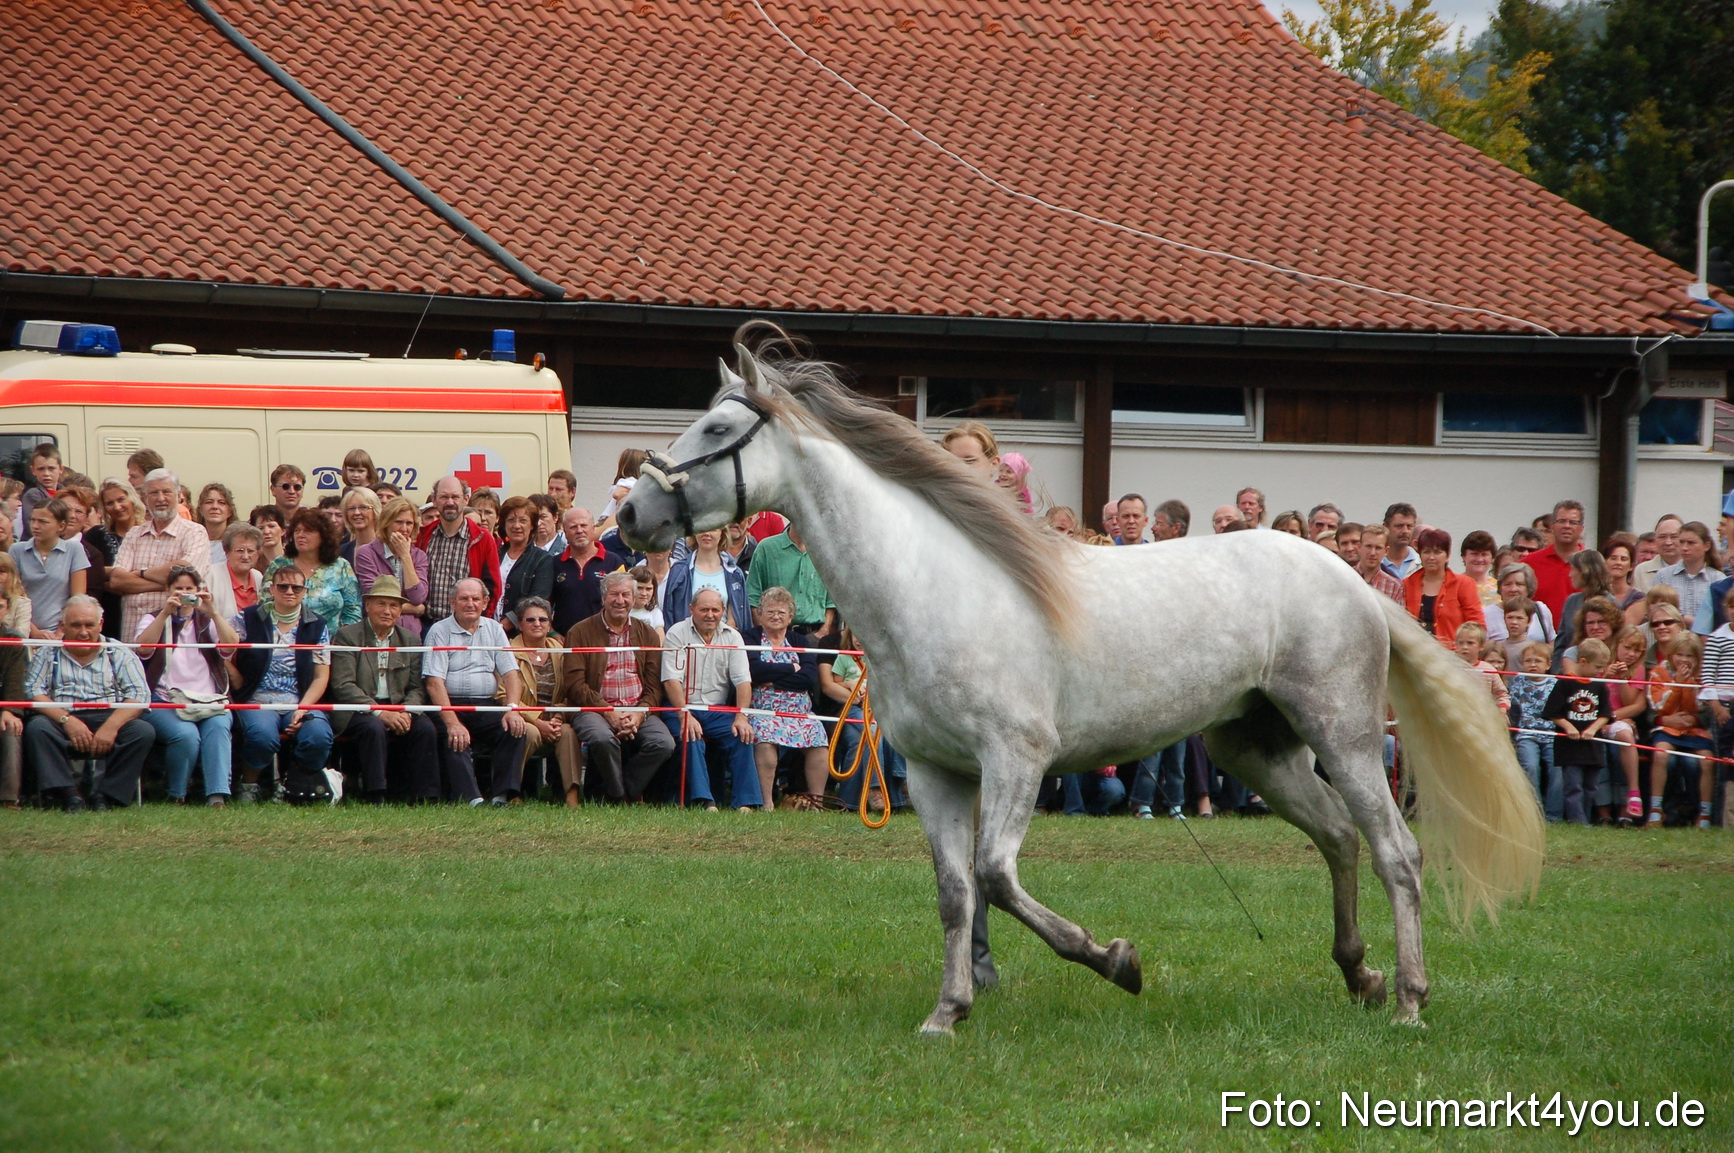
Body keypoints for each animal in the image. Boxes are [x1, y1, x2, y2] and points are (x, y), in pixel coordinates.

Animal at [617, 325, 1545, 1036]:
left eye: (713, 430)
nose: (631, 513)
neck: (932, 590)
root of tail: (1354, 580)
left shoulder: (1016, 759)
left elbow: (996, 877)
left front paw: (1117, 961)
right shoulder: (938, 773)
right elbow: (956, 892)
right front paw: (947, 1011)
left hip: (1343, 735)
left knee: (1395, 850)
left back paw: (1410, 1000)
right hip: (1254, 748)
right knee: (1338, 836)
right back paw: (1360, 977)